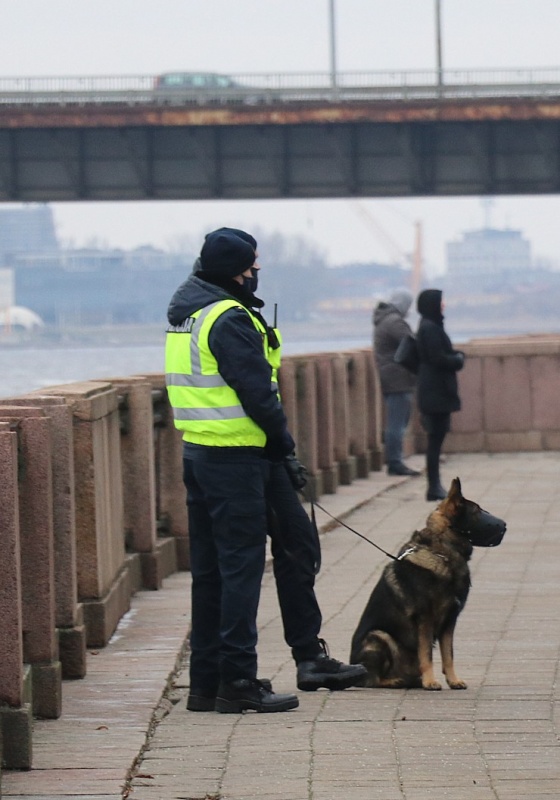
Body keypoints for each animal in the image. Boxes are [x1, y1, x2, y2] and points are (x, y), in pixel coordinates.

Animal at [348, 478, 506, 692]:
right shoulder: (425, 620)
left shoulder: (450, 621)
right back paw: (394, 681)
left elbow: (448, 654)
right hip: (379, 636)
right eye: (477, 511)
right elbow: (427, 654)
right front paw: (430, 681)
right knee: (371, 679)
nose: (505, 525)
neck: (443, 551)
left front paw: (453, 680)